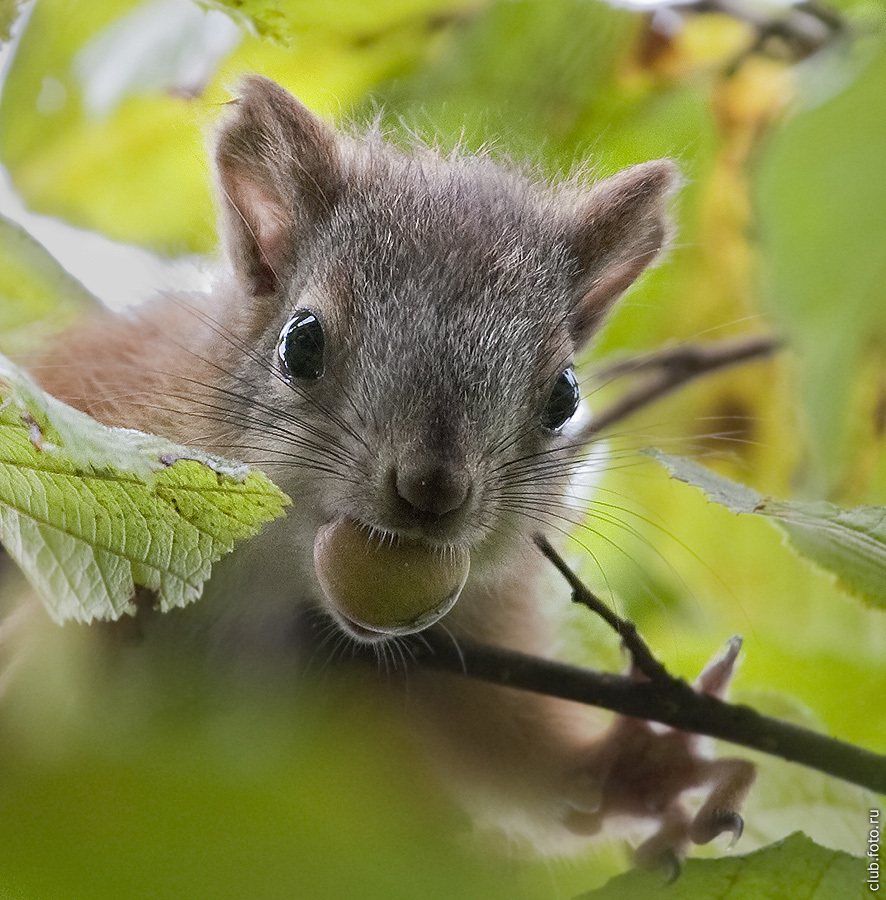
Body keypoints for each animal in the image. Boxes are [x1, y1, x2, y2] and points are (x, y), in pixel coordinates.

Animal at [34, 75, 756, 864]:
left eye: (564, 396)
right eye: (300, 343)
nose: (432, 489)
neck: (278, 575)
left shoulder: (455, 652)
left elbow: (529, 760)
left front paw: (647, 762)